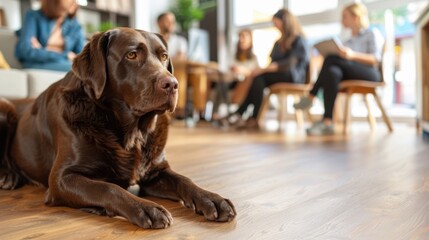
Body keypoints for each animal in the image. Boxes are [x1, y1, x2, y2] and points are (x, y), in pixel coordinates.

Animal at [0, 27, 234, 228]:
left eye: (164, 56)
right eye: (132, 55)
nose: (172, 84)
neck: (133, 133)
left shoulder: (156, 172)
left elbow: (185, 180)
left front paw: (212, 199)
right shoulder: (61, 179)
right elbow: (108, 187)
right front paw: (146, 208)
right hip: (5, 108)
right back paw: (8, 176)